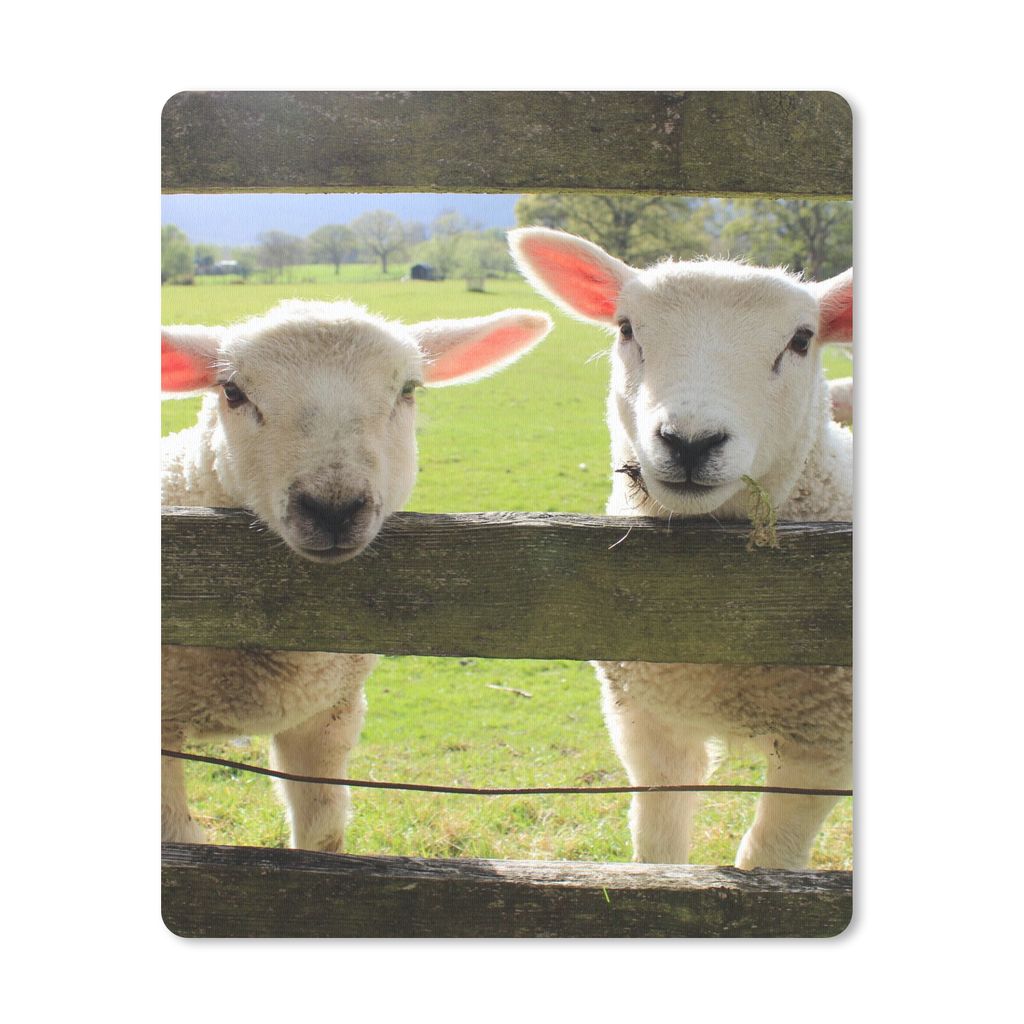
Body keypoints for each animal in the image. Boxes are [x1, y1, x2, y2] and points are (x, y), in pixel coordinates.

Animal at [161, 299, 552, 852]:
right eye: (233, 392)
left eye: (408, 390)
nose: (333, 508)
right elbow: (179, 836)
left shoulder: (330, 712)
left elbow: (324, 834)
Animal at [509, 228, 852, 870]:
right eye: (626, 328)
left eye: (801, 339)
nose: (690, 443)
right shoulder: (648, 720)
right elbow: (659, 849)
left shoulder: (824, 744)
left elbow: (769, 858)